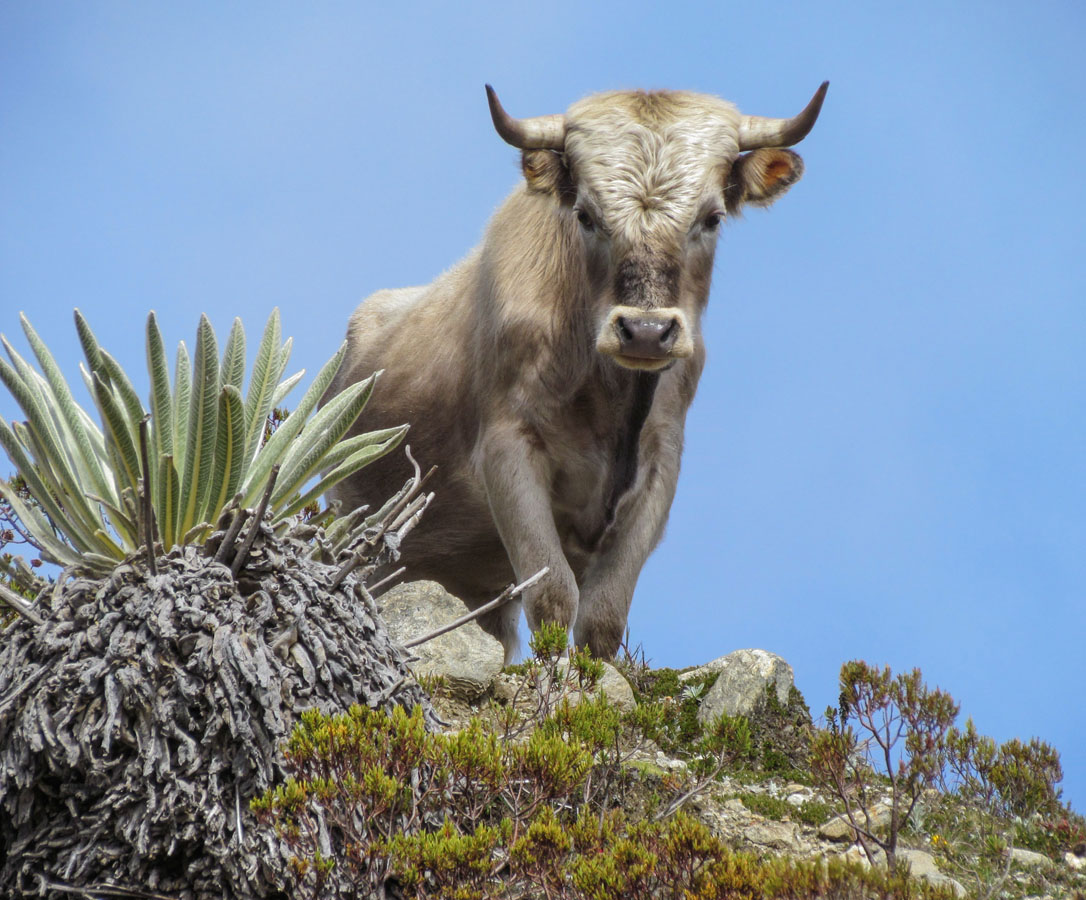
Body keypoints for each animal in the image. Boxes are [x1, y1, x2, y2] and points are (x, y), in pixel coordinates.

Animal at [325, 84, 825, 660]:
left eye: (713, 217)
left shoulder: (661, 464)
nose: (646, 331)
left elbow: (603, 617)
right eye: (586, 215)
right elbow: (552, 597)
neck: (609, 401)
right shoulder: (507, 449)